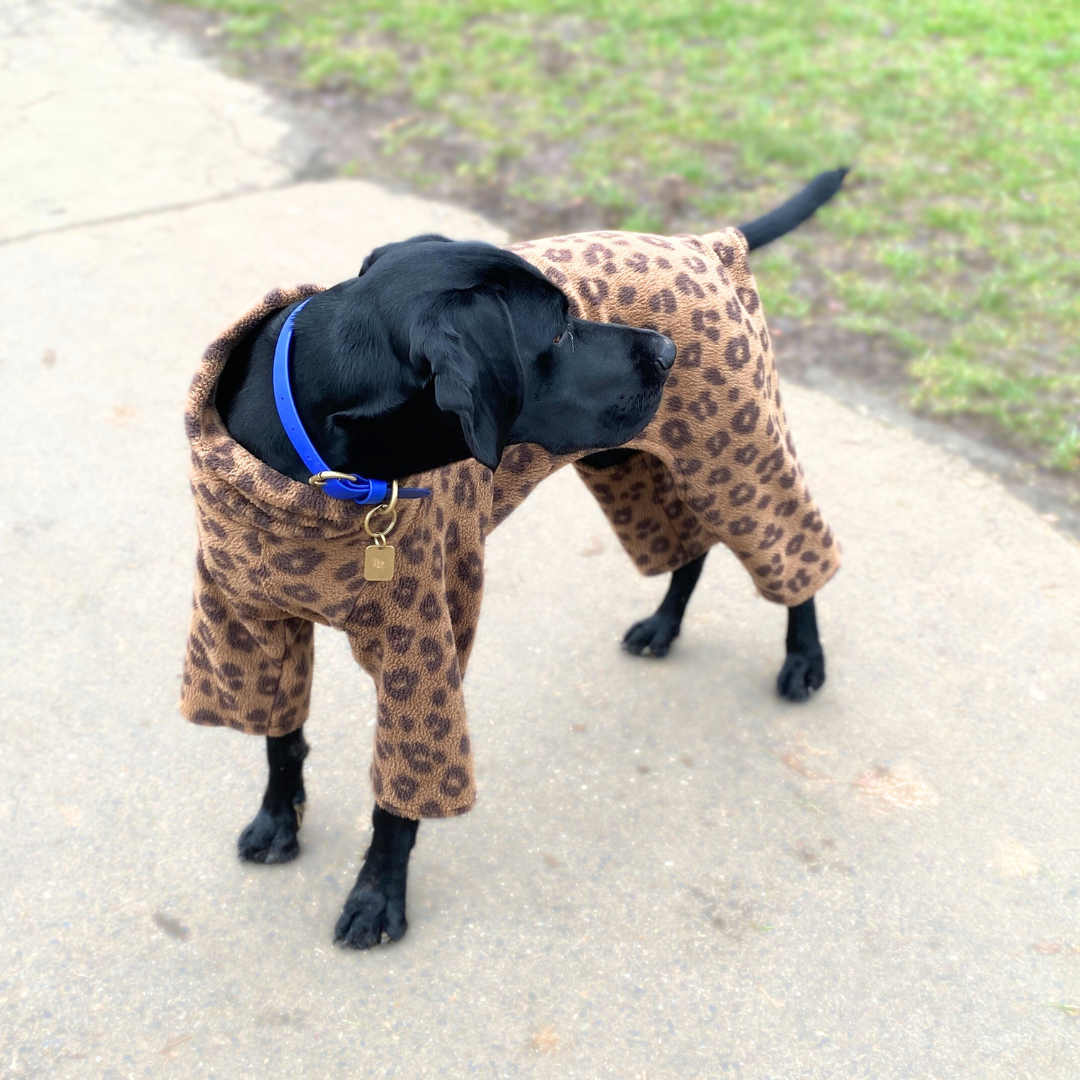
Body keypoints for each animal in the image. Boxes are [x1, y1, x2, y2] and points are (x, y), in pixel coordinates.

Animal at [214, 166, 846, 946]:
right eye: (561, 331)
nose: (666, 352)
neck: (318, 467)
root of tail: (702, 242)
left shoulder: (421, 648)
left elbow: (399, 795)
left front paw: (377, 895)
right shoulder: (252, 620)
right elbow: (280, 737)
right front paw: (279, 820)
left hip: (734, 454)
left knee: (793, 553)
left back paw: (804, 658)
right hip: (628, 461)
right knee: (689, 550)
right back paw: (664, 627)